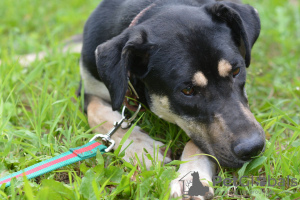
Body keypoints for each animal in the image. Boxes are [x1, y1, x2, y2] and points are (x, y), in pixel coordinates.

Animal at [78, 0, 266, 198]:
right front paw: (144, 149)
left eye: (236, 71)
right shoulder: (88, 87)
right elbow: (98, 113)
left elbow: (199, 141)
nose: (253, 148)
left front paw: (190, 176)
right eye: (188, 90)